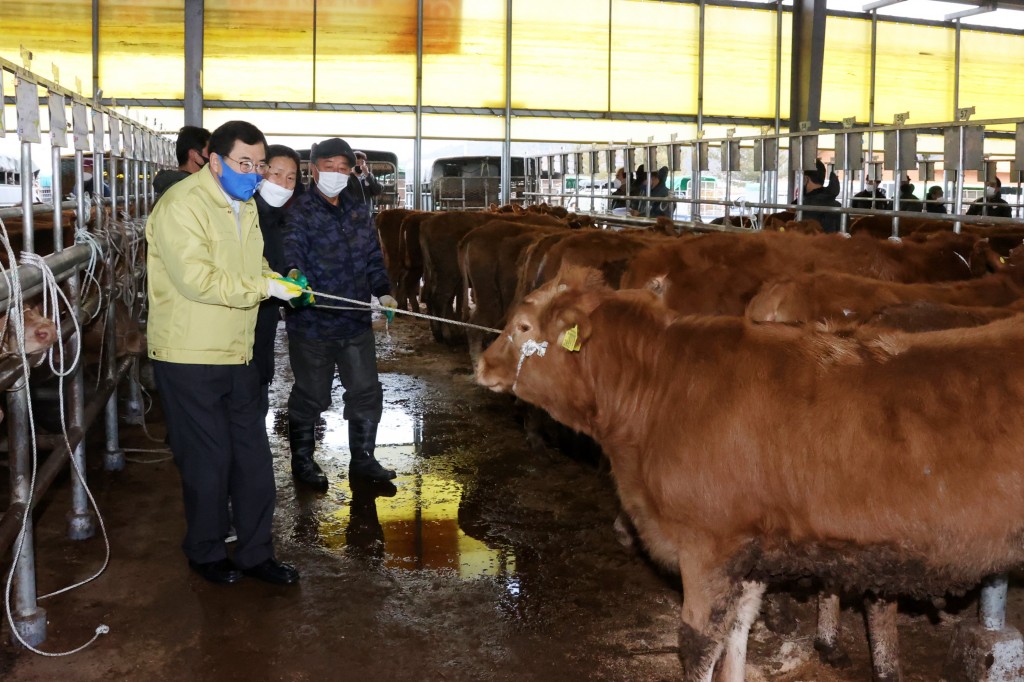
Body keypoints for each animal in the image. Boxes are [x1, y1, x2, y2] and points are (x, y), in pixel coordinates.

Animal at [475, 264, 1024, 675]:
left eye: (522, 327)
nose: (481, 364)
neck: (657, 390)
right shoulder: (752, 550)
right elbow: (737, 634)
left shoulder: (707, 546)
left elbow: (699, 646)